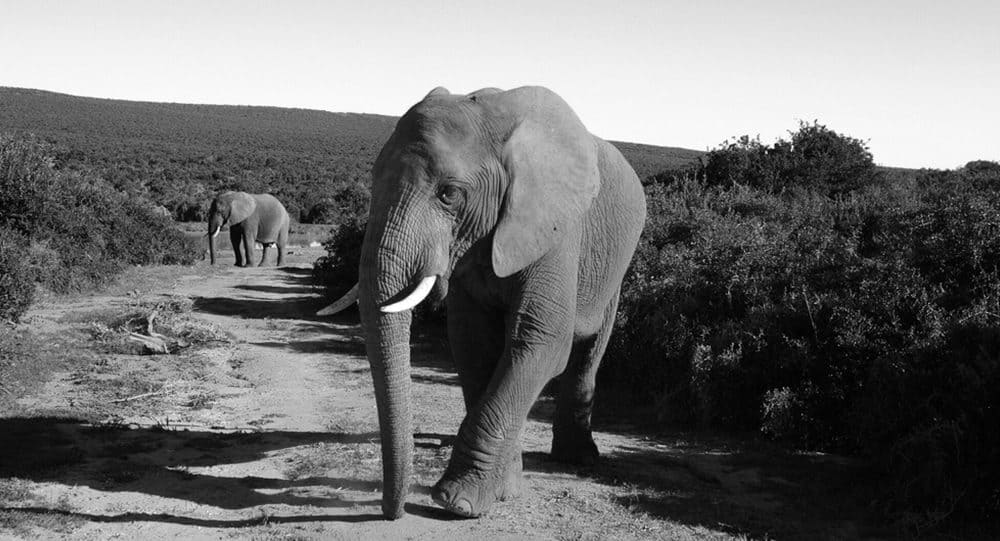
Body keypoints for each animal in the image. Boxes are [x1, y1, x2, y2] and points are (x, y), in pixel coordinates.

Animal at [318, 86, 646, 519]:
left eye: (450, 194)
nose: (392, 513)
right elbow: (472, 342)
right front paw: (503, 489)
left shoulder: (554, 226)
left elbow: (540, 340)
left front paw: (457, 502)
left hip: (616, 266)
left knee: (588, 350)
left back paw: (578, 460)